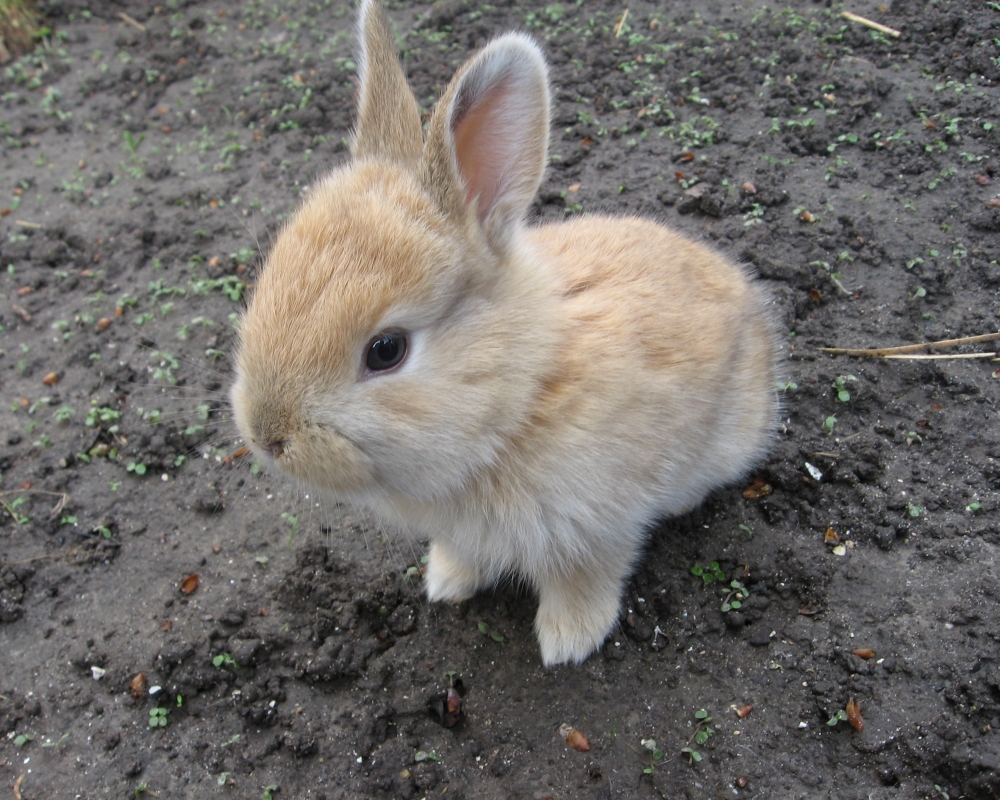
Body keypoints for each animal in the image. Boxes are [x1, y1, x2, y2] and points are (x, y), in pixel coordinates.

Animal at [232, 0, 780, 664]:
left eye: (386, 351)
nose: (266, 436)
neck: (522, 394)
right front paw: (445, 583)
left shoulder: (597, 527)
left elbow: (586, 578)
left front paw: (567, 641)